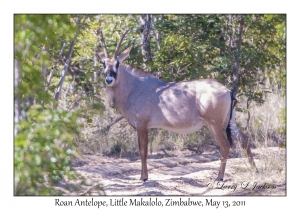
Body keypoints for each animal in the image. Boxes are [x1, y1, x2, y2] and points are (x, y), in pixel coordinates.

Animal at [98, 30, 255, 182]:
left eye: (117, 64)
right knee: (244, 139)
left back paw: (219, 177)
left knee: (225, 145)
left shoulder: (141, 125)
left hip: (214, 124)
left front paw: (143, 177)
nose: (109, 80)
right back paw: (254, 170)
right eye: (104, 64)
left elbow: (143, 151)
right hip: (229, 122)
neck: (135, 87)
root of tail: (228, 91)